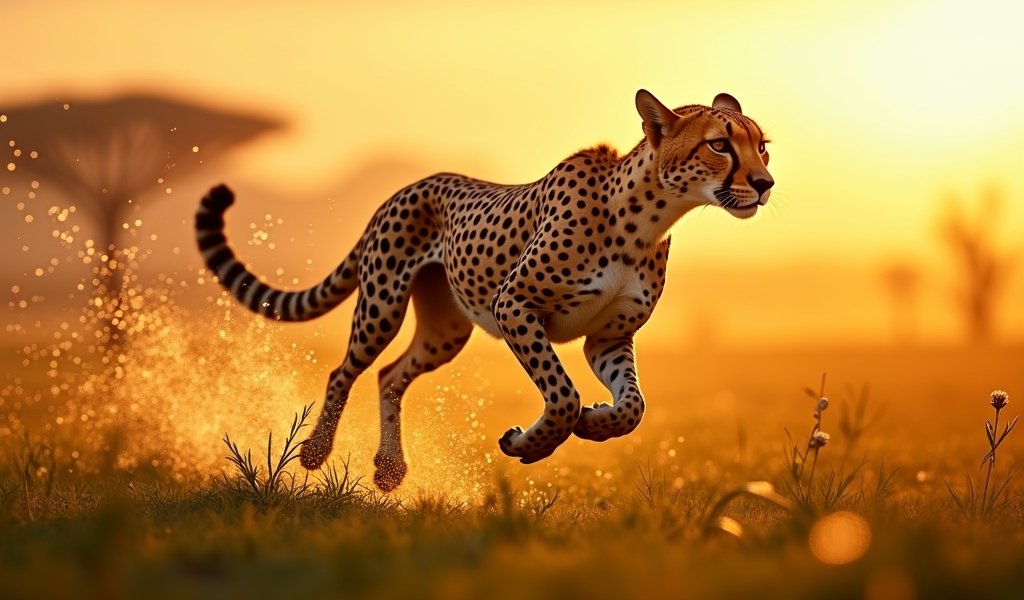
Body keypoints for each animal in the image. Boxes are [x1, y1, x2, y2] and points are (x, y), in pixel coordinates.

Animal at [195, 90, 773, 491]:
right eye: (719, 144)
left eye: (762, 147)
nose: (765, 183)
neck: (648, 218)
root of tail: (409, 185)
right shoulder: (514, 305)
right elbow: (562, 394)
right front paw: (532, 445)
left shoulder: (607, 337)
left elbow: (634, 405)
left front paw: (597, 423)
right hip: (382, 303)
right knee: (346, 370)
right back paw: (316, 451)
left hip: (446, 331)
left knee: (390, 375)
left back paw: (389, 469)